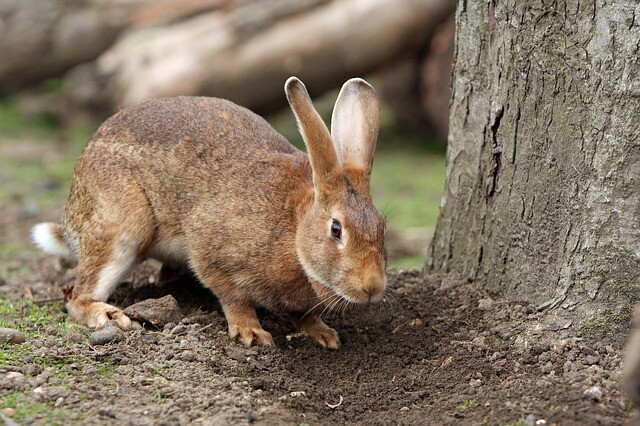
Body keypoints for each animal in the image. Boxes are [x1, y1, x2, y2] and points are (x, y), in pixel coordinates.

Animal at [32, 77, 388, 350]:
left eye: (382, 227)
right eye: (336, 229)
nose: (373, 287)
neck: (295, 228)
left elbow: (304, 315)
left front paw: (324, 335)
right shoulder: (211, 250)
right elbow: (234, 297)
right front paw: (251, 333)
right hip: (121, 226)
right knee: (77, 295)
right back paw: (108, 315)